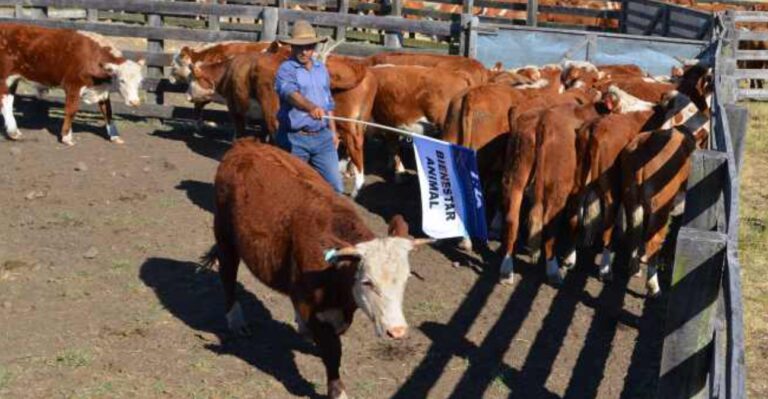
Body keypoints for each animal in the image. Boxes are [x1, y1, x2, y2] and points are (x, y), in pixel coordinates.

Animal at [0, 23, 144, 145]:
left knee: (8, 102)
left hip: (13, 80)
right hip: (4, 78)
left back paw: (14, 132)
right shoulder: (73, 85)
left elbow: (107, 111)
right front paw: (66, 137)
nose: (135, 102)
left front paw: (115, 136)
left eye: (139, 81)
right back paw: (13, 132)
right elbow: (71, 110)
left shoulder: (101, 90)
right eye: (122, 80)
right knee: (4, 102)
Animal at [201, 138, 428, 399]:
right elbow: (332, 351)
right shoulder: (311, 307)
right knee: (227, 275)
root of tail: (245, 143)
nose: (397, 331)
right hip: (225, 236)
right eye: (367, 282)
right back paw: (236, 321)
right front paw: (338, 391)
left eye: (405, 280)